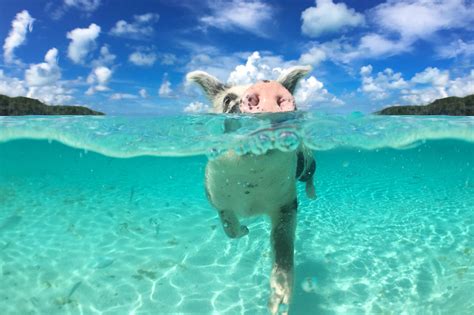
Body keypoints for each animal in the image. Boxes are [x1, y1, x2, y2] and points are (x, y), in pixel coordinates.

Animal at [187, 66, 316, 315]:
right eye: (227, 99)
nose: (267, 86)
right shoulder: (215, 195)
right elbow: (228, 225)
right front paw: (245, 230)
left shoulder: (287, 202)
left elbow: (283, 242)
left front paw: (279, 304)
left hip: (307, 160)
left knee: (309, 176)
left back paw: (312, 194)